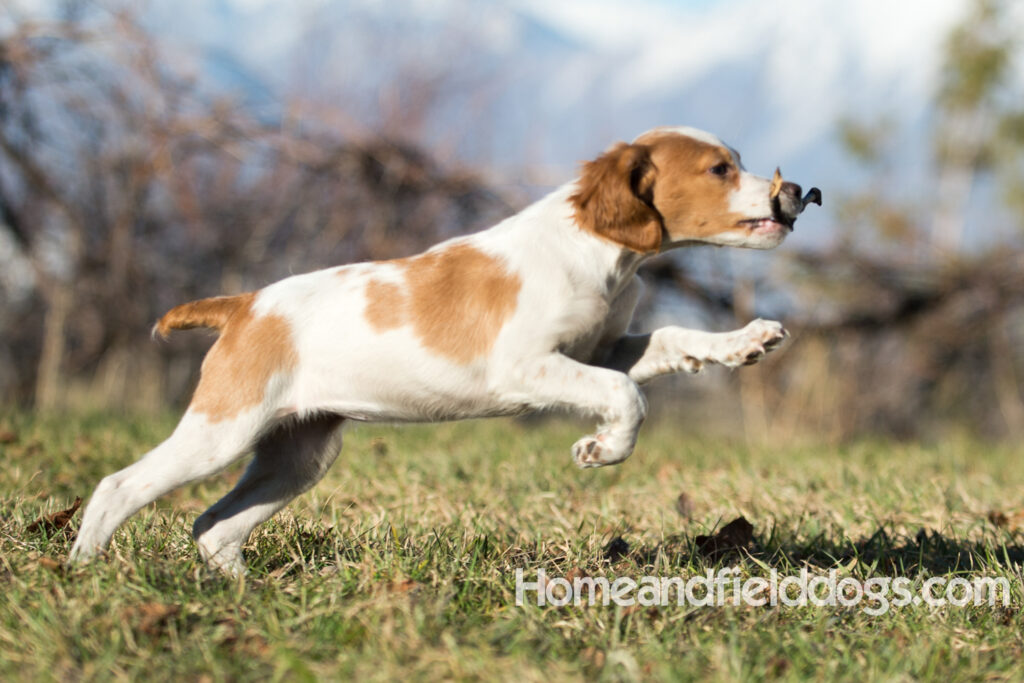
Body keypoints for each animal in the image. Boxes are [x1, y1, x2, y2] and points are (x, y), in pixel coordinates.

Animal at [68, 125, 819, 573]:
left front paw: (744, 341)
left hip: (297, 455)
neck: (594, 249)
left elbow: (666, 343)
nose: (794, 192)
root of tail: (246, 305)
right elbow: (627, 396)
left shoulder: (603, 348)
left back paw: (240, 593)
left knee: (215, 525)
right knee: (120, 485)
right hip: (222, 429)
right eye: (720, 169)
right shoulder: (528, 366)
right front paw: (601, 449)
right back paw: (81, 570)